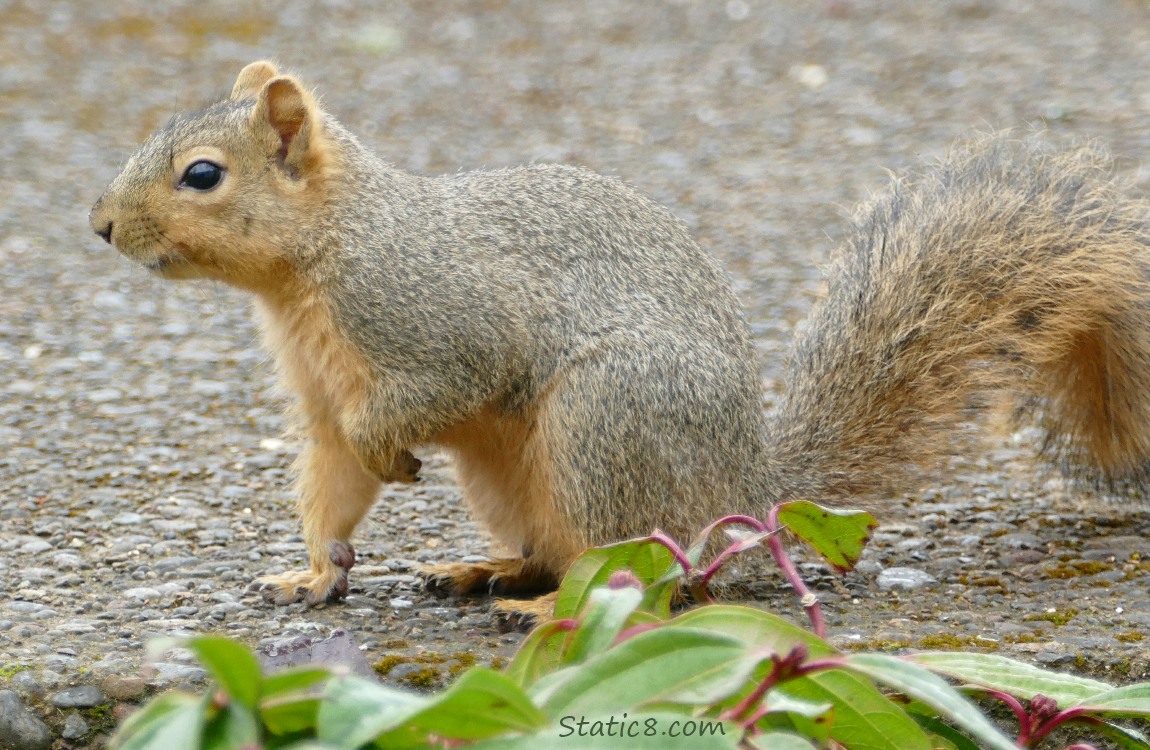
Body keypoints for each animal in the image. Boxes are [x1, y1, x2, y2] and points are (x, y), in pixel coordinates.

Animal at [92, 61, 1150, 616]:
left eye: (201, 175)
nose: (100, 225)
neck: (323, 254)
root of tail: (748, 495)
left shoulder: (438, 318)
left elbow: (433, 390)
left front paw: (392, 456)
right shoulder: (319, 393)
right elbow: (330, 474)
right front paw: (314, 572)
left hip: (609, 420)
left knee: (641, 573)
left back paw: (545, 606)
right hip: (516, 477)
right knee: (556, 548)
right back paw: (491, 569)